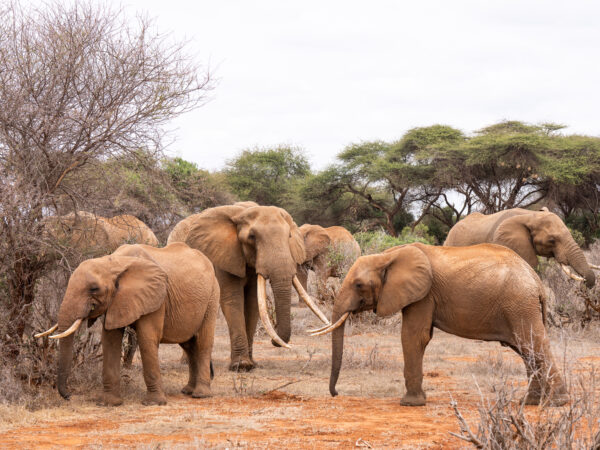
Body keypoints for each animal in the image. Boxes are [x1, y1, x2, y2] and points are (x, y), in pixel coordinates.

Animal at [35, 243, 218, 408]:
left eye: (94, 289)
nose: (69, 396)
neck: (114, 262)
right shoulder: (116, 301)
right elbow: (110, 340)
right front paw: (108, 404)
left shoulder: (157, 298)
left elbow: (147, 339)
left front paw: (153, 403)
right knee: (189, 345)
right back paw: (187, 391)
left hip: (212, 296)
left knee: (203, 343)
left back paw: (200, 395)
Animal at [168, 202, 328, 370]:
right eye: (252, 237)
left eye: (289, 236)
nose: (274, 341)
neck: (243, 212)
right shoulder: (224, 256)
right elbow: (233, 300)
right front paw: (242, 366)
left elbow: (252, 304)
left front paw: (252, 364)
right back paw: (187, 363)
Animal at [314, 243, 568, 408]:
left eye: (358, 285)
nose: (336, 393)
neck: (388, 256)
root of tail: (536, 281)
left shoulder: (423, 295)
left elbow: (414, 337)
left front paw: (410, 404)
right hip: (519, 306)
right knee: (527, 350)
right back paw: (531, 402)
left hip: (519, 303)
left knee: (532, 345)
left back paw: (556, 403)